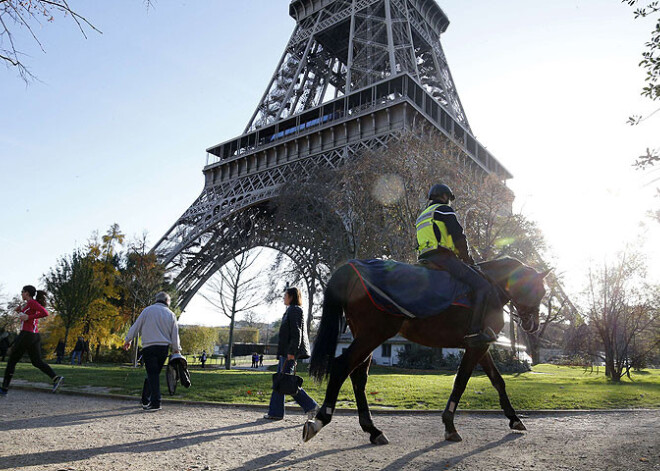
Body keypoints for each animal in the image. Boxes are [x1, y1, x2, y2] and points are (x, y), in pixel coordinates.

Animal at [302, 258, 548, 446]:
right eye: (535, 290)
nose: (533, 324)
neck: (492, 287)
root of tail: (353, 267)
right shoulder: (477, 346)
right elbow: (461, 381)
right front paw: (449, 424)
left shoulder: (480, 346)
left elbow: (498, 381)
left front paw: (514, 418)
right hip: (373, 335)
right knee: (342, 366)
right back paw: (321, 420)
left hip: (366, 336)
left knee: (358, 376)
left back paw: (373, 430)